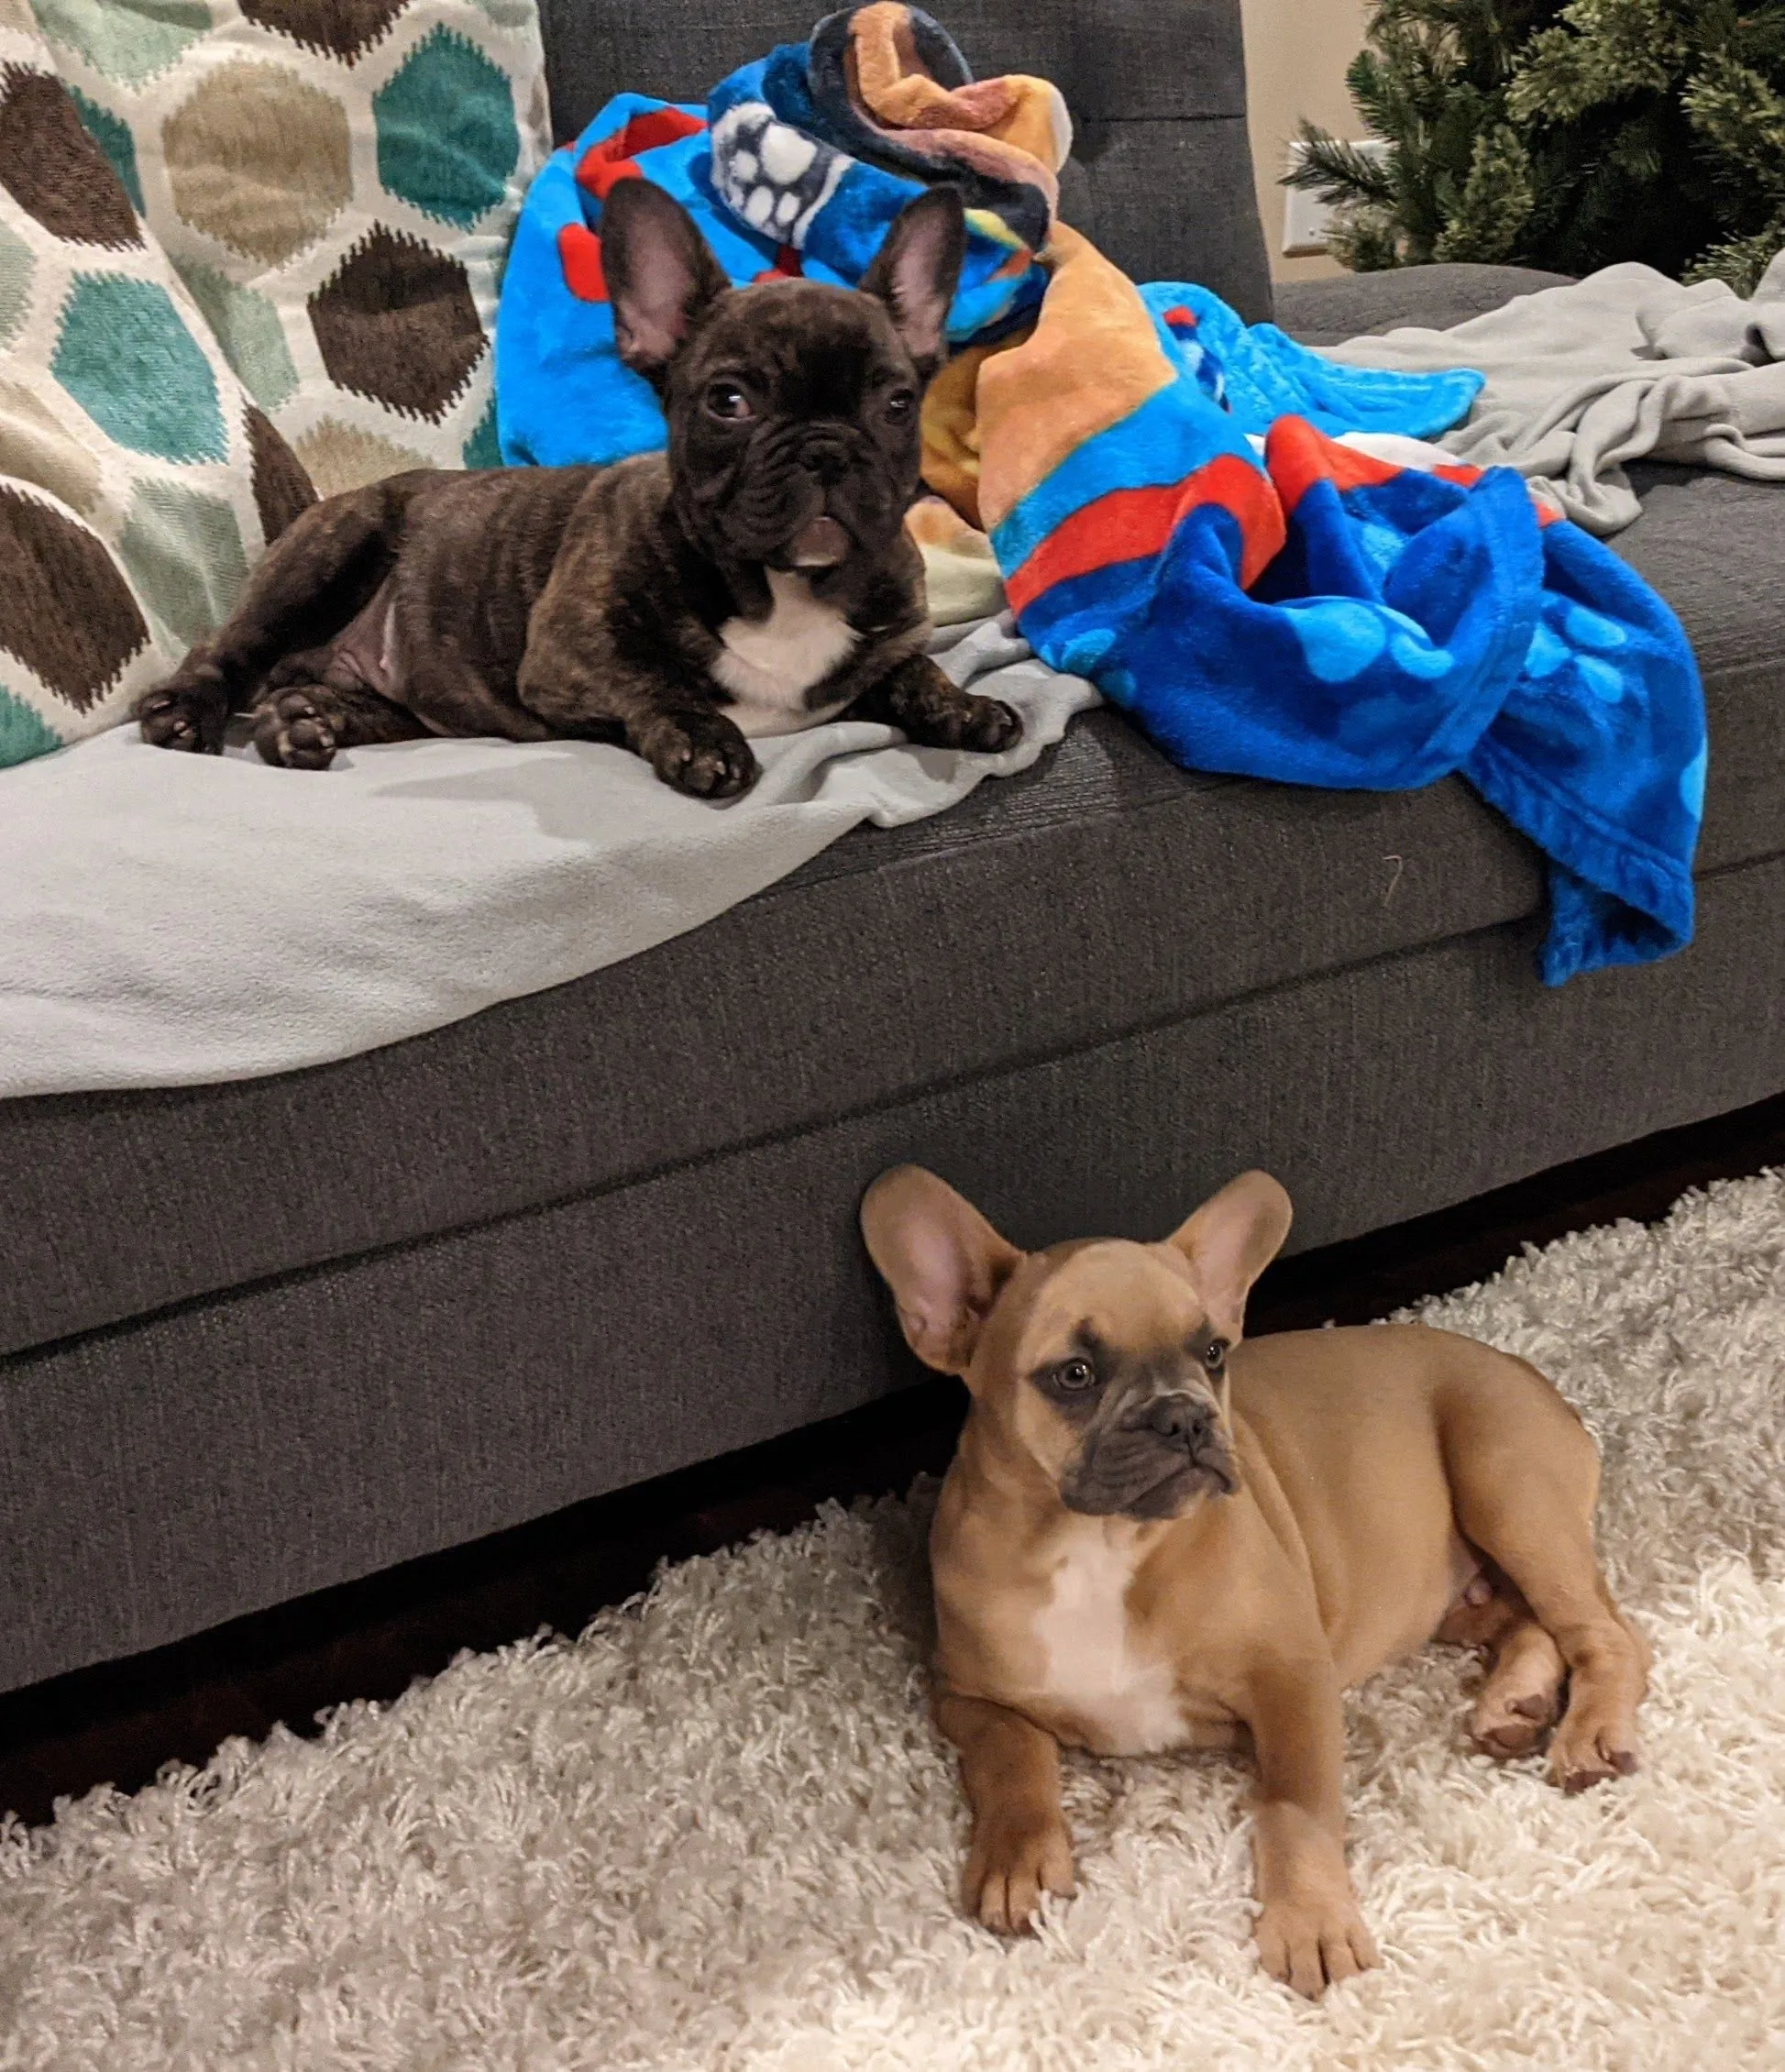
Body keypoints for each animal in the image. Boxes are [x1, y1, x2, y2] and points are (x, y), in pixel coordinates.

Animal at [136, 180, 1021, 795]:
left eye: (896, 403)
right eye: (729, 402)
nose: (828, 450)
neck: (787, 588)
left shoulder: (890, 639)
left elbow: (913, 672)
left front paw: (968, 707)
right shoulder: (570, 651)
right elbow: (653, 682)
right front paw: (705, 739)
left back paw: (303, 724)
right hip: (329, 553)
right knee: (227, 650)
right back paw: (188, 714)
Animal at [860, 1165, 1649, 1998]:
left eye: (1212, 1352)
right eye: (1073, 1375)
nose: (1184, 1416)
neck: (1094, 1545)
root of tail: (1531, 1375)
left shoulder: (1291, 1679)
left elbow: (1294, 1807)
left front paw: (1310, 1920)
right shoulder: (965, 1695)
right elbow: (1011, 1760)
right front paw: (1017, 1859)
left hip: (1504, 1485)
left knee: (1607, 1633)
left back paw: (1589, 1735)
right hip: (1446, 1594)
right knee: (1529, 1622)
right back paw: (1515, 1701)